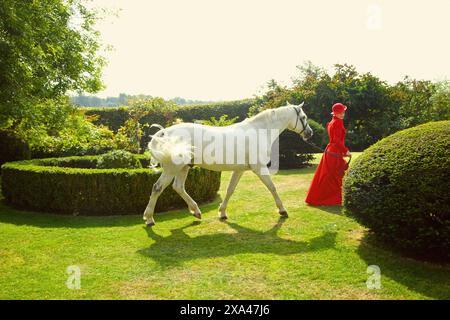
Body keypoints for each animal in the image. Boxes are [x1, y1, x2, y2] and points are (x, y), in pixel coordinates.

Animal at [144, 101, 312, 226]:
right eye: (303, 117)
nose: (310, 133)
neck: (259, 131)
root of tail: (165, 132)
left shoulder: (239, 170)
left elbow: (230, 190)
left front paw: (222, 213)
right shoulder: (259, 168)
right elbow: (272, 187)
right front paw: (282, 210)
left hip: (183, 167)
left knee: (178, 187)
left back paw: (196, 211)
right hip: (172, 169)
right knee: (157, 188)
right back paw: (149, 218)